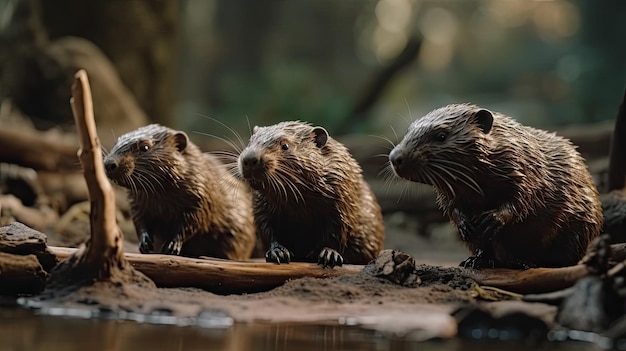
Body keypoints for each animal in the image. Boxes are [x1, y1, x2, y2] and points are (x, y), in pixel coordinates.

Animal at [103, 124, 255, 262]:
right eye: (117, 142)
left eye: (145, 147)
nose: (109, 163)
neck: (161, 201)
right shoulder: (137, 204)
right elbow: (140, 223)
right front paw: (145, 244)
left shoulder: (199, 199)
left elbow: (191, 224)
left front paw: (171, 246)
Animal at [236, 121, 382, 270]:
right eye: (250, 141)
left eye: (285, 145)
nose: (250, 159)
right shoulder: (261, 204)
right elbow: (267, 229)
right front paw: (278, 252)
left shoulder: (342, 196)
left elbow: (338, 230)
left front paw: (328, 255)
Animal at [388, 104, 604, 270]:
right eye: (408, 131)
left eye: (441, 136)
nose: (395, 157)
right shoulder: (449, 191)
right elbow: (452, 207)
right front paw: (466, 226)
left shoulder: (526, 169)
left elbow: (524, 198)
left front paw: (491, 220)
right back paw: (476, 261)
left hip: (579, 226)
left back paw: (531, 263)